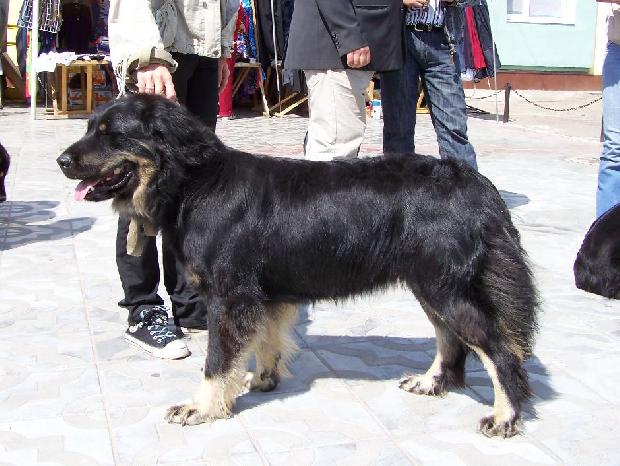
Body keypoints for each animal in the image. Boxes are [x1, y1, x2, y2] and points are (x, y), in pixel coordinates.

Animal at [57, 94, 538, 438]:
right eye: (89, 127)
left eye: (111, 134)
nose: (62, 161)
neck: (196, 184)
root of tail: (475, 184)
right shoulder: (265, 294)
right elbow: (265, 341)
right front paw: (261, 381)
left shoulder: (231, 297)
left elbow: (216, 360)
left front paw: (203, 407)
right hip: (431, 284)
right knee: (451, 340)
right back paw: (431, 383)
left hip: (444, 287)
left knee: (501, 350)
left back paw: (505, 415)